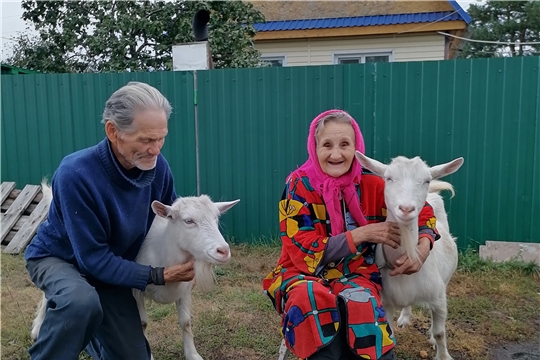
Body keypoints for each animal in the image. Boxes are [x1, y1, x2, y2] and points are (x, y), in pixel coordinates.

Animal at [354, 152, 464, 360]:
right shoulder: (385, 302)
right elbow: (389, 333)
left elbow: (440, 332)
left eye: (426, 180)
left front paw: (443, 354)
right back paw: (405, 317)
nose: (406, 209)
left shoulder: (438, 297)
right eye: (388, 178)